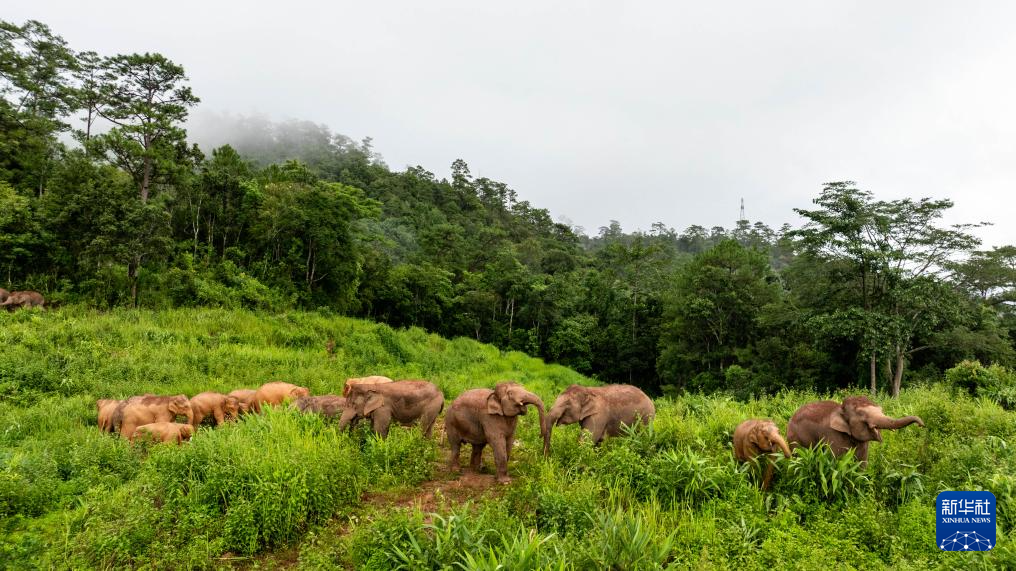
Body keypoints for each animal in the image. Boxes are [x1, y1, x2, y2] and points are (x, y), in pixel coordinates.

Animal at [784, 394, 930, 465]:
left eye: (880, 409)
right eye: (862, 415)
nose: (922, 425)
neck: (840, 410)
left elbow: (862, 464)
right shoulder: (833, 436)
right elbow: (837, 464)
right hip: (794, 438)